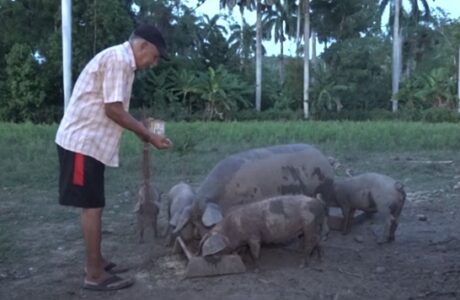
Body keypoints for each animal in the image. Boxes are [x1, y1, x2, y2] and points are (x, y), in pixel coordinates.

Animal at [172, 144, 334, 241]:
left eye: (206, 224)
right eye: (194, 223)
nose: (203, 239)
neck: (223, 199)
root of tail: (323, 156)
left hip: (325, 188)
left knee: (326, 209)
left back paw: (324, 236)